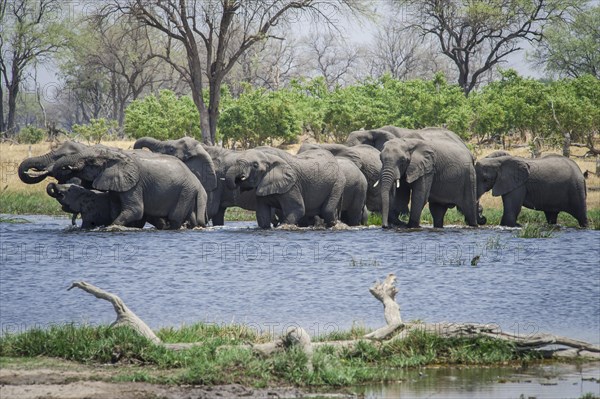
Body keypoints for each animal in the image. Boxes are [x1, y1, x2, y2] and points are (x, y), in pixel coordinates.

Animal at [49, 148, 209, 230]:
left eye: (91, 162)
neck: (116, 157)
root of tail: (199, 184)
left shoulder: (135, 184)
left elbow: (135, 210)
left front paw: (110, 227)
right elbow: (115, 208)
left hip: (185, 191)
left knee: (175, 218)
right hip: (188, 193)